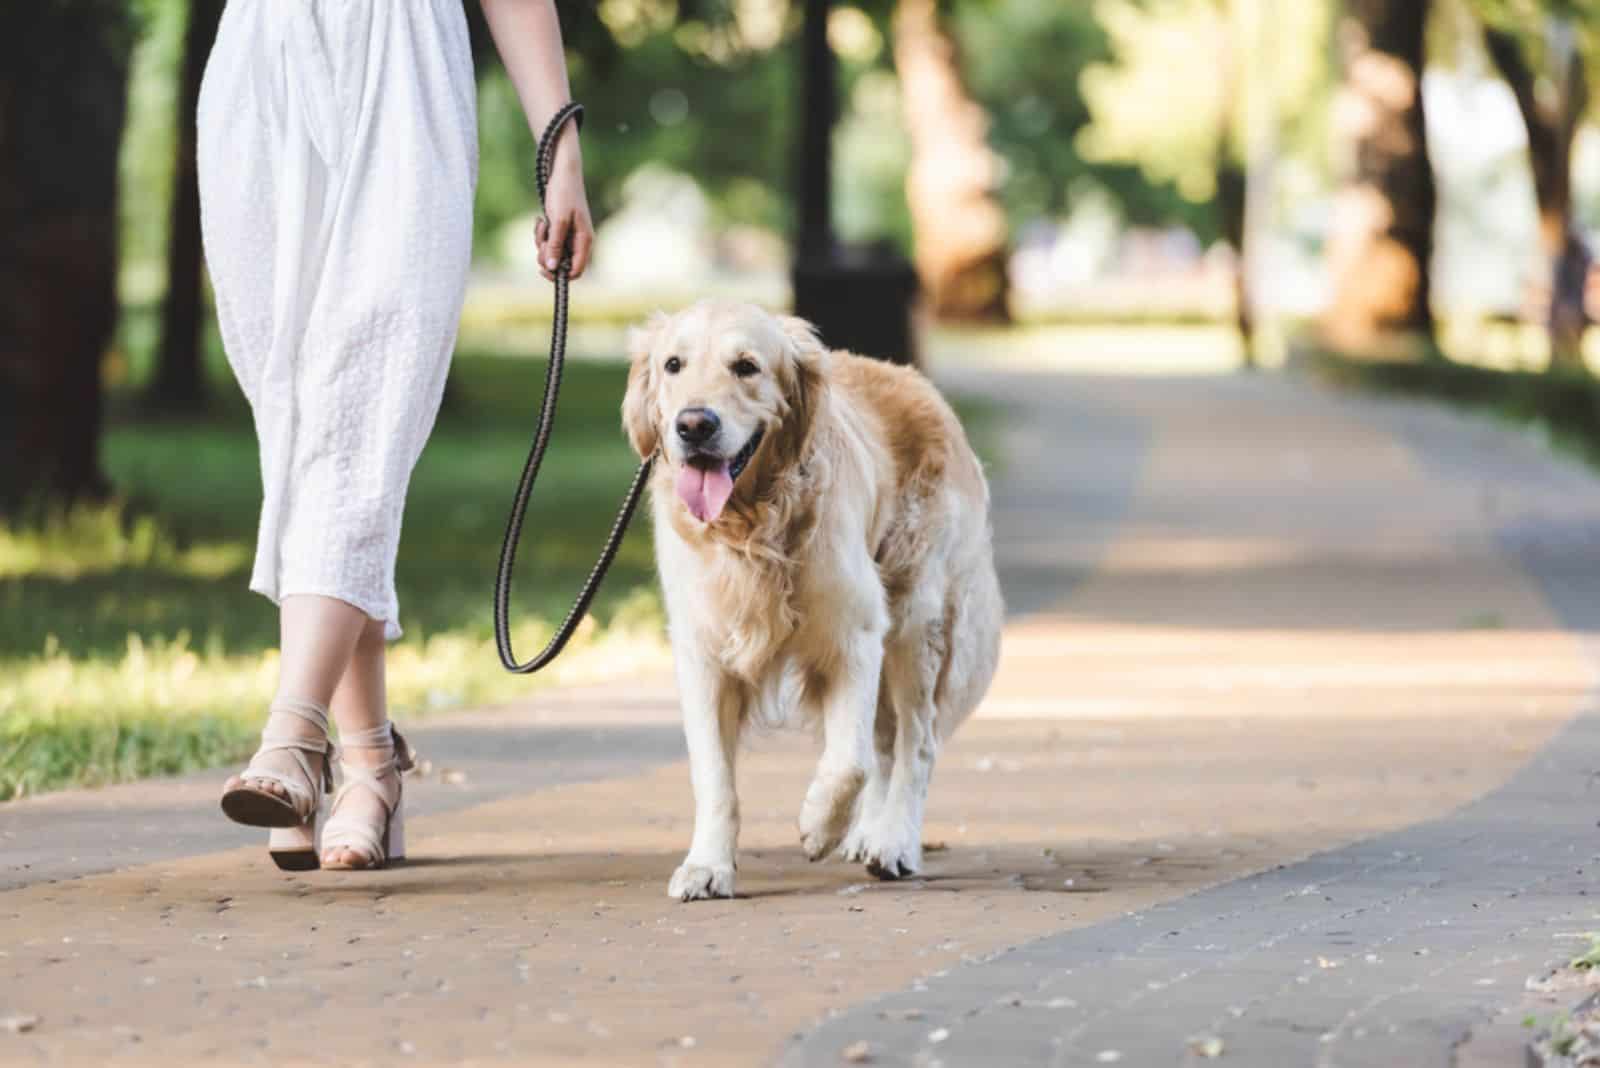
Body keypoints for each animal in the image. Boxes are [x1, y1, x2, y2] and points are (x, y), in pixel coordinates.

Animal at [620, 300, 998, 901]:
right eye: (673, 364)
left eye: (746, 366)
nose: (694, 425)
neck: (751, 529)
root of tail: (919, 383)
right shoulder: (703, 654)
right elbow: (714, 776)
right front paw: (707, 865)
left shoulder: (856, 635)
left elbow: (849, 763)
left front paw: (820, 825)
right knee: (887, 741)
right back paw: (868, 835)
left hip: (917, 621)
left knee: (915, 743)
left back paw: (893, 842)